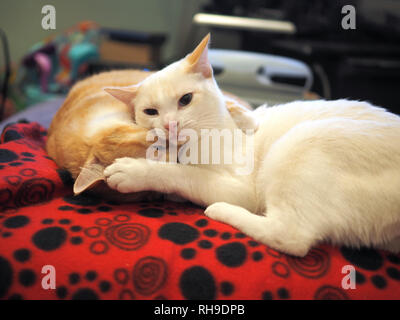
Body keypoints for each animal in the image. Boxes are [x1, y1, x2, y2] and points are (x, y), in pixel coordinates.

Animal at [104, 33, 400, 256]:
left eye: (185, 100)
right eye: (151, 112)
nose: (169, 125)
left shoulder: (239, 186)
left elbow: (181, 173)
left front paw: (135, 171)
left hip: (304, 140)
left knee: (291, 237)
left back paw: (221, 210)